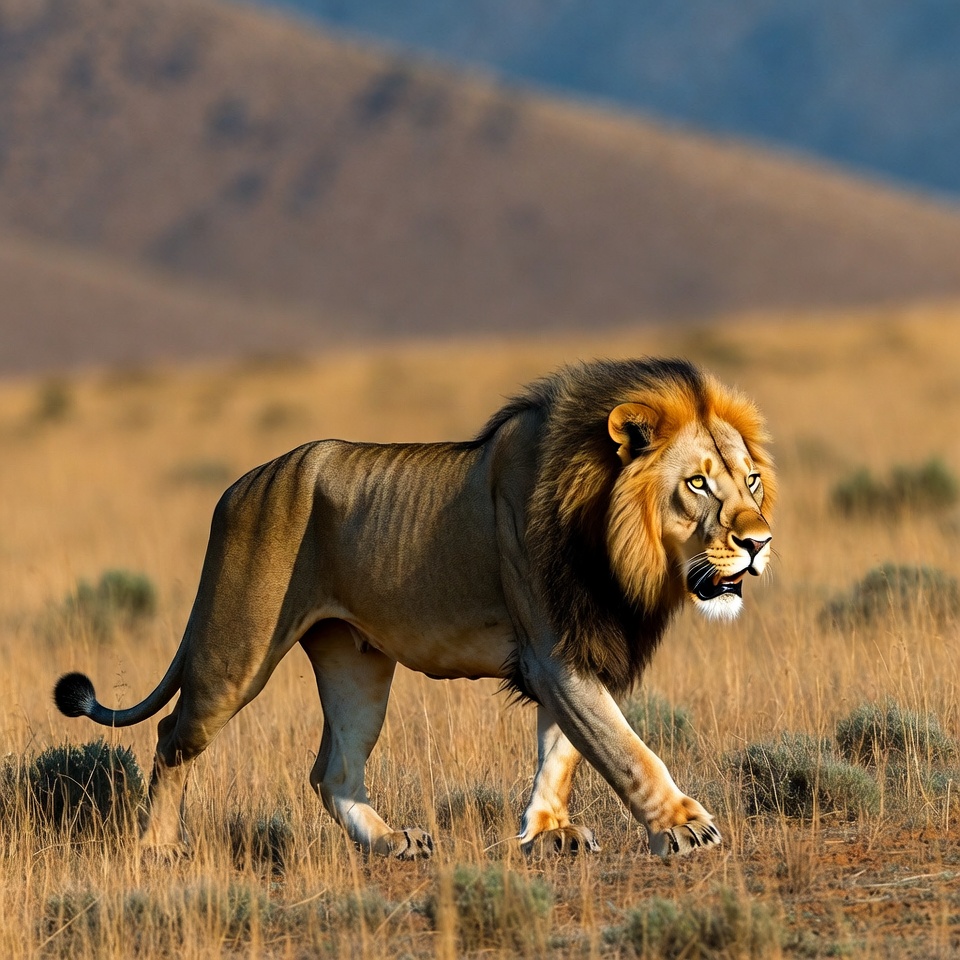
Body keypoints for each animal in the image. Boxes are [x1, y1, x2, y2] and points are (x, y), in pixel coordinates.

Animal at [54, 357, 775, 860]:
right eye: (697, 482)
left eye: (751, 480)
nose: (759, 542)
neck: (614, 539)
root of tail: (237, 488)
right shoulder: (554, 651)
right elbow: (624, 748)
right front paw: (684, 827)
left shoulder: (578, 645)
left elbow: (563, 750)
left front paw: (549, 833)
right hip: (236, 650)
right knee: (172, 736)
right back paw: (156, 848)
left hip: (355, 662)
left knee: (333, 769)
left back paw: (392, 841)